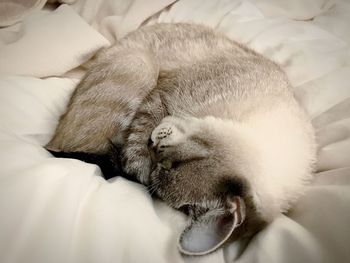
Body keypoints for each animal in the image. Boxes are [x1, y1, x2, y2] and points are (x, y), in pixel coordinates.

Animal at [45, 23, 316, 256]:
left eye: (166, 166)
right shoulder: (162, 98)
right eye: (170, 159)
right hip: (140, 65)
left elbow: (133, 166)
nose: (153, 145)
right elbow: (136, 150)